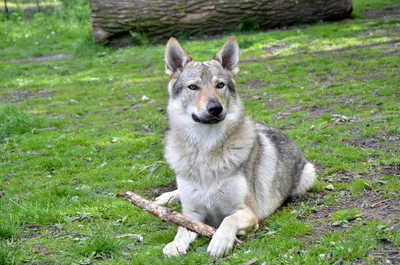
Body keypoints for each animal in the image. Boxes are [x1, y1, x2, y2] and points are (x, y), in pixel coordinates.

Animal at [155, 36, 318, 256]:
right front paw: (176, 244)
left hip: (308, 174)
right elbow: (182, 227)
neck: (205, 149)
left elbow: (227, 220)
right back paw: (166, 197)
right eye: (193, 87)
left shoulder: (248, 212)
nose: (215, 108)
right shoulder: (192, 213)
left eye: (220, 85)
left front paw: (220, 241)